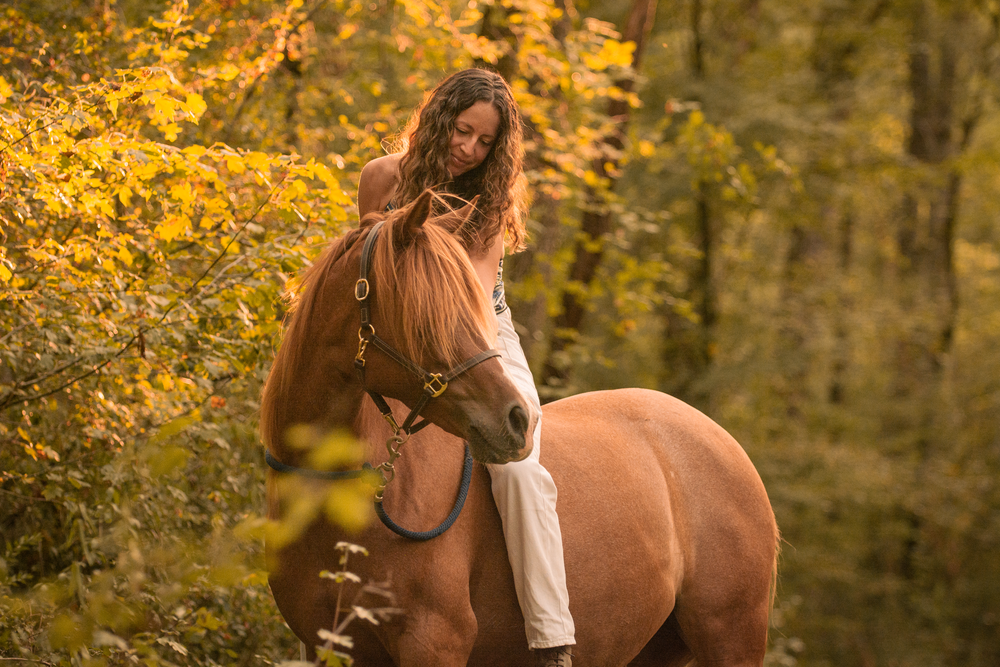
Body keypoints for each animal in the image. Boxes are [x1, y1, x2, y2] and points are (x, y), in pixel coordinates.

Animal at [260, 191, 780, 667]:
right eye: (428, 316)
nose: (517, 419)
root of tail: (727, 446)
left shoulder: (433, 640)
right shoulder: (326, 643)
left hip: (731, 638)